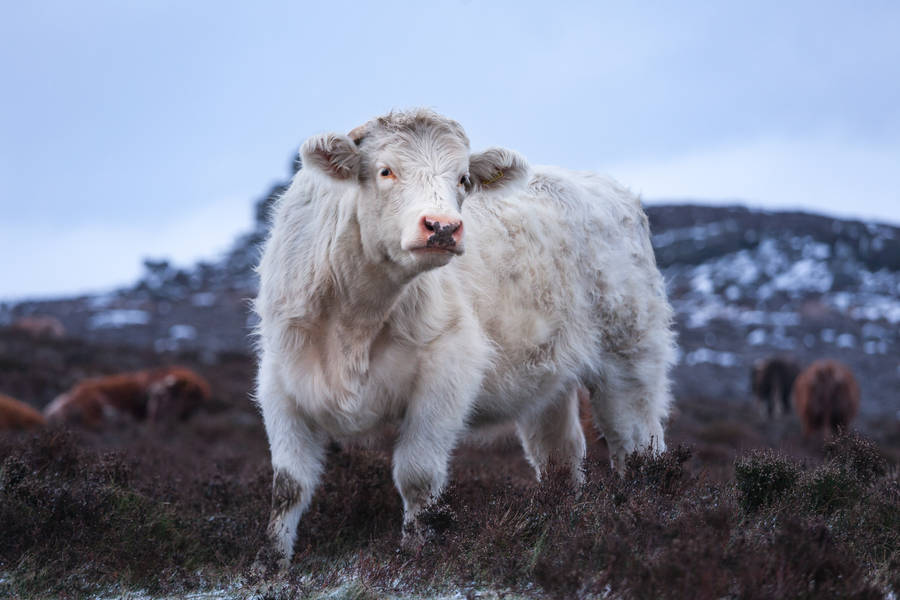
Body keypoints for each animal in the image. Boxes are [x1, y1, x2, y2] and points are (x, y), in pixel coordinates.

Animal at [253, 109, 675, 567]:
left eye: (463, 179)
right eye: (385, 170)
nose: (442, 227)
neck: (355, 316)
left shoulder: (447, 371)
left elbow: (417, 475)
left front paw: (414, 556)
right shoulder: (279, 380)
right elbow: (288, 485)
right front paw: (271, 565)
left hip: (631, 356)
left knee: (638, 447)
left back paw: (641, 518)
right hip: (549, 380)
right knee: (560, 457)